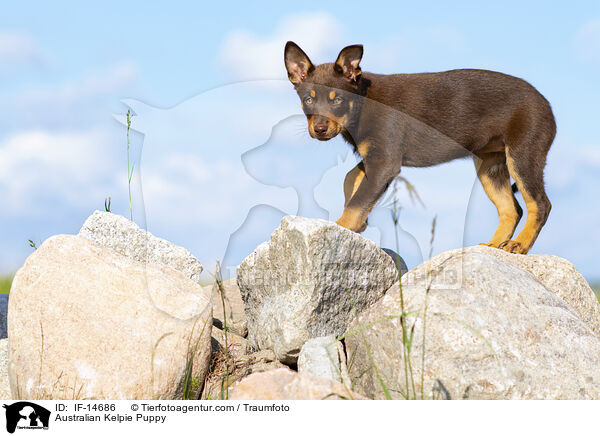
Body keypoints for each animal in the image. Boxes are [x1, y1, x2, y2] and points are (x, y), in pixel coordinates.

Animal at [284, 42, 556, 254]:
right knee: (512, 208)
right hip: (491, 165)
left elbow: (358, 199)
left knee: (540, 204)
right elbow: (351, 179)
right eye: (308, 100)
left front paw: (343, 225)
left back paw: (519, 244)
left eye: (338, 100)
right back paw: (494, 245)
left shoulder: (385, 161)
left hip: (523, 154)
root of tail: (547, 105)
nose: (319, 129)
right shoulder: (376, 157)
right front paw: (359, 222)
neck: (361, 103)